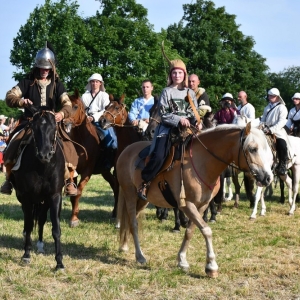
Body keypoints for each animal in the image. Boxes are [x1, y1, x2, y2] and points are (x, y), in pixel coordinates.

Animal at [9, 105, 65, 270]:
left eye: (54, 127)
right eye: (33, 127)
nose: (44, 155)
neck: (42, 167)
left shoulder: (54, 196)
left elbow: (56, 229)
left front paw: (59, 262)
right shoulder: (26, 196)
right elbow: (28, 225)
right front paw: (26, 254)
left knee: (41, 219)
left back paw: (40, 244)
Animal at [65, 90, 117, 226]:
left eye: (75, 106)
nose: (64, 122)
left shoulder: (87, 172)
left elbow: (78, 192)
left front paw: (74, 219)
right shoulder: (73, 171)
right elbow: (73, 194)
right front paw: (73, 216)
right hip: (105, 171)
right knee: (115, 185)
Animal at [116, 123, 274, 278]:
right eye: (253, 149)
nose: (268, 178)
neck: (201, 162)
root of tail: (126, 151)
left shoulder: (202, 205)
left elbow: (190, 231)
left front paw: (182, 260)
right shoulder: (187, 205)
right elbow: (206, 230)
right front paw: (211, 266)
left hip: (142, 200)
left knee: (129, 220)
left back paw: (124, 245)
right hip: (130, 194)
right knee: (133, 223)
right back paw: (139, 256)